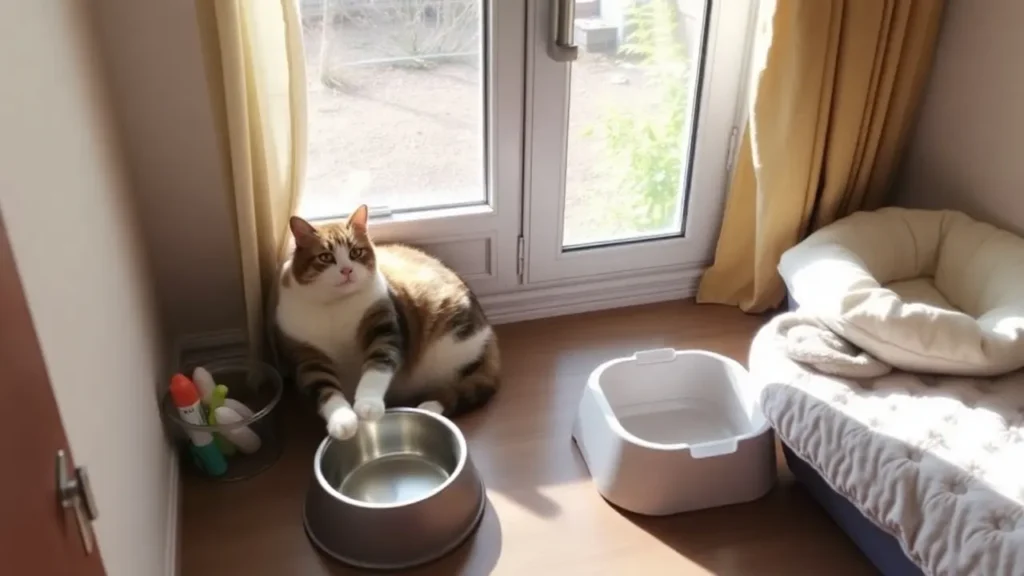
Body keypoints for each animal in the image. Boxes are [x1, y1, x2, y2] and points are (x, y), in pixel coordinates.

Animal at [274, 204, 501, 438]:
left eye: (356, 252)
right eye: (326, 257)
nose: (347, 270)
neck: (334, 305)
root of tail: (489, 332)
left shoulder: (384, 331)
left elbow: (377, 369)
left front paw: (368, 406)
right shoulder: (308, 357)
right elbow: (326, 392)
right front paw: (343, 421)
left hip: (449, 352)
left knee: (461, 390)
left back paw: (429, 407)